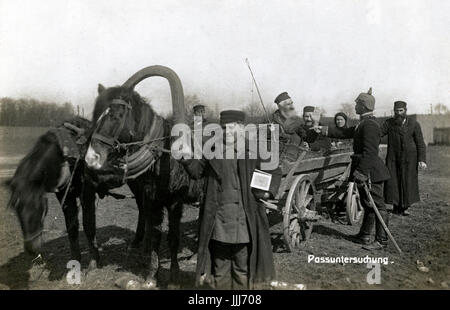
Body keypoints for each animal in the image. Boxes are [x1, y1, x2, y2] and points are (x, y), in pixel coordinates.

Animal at [85, 65, 191, 288]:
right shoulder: (153, 200)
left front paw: (174, 277)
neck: (164, 155)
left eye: (116, 116)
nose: (91, 158)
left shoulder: (176, 202)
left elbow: (173, 238)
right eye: (96, 116)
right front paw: (151, 276)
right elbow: (156, 235)